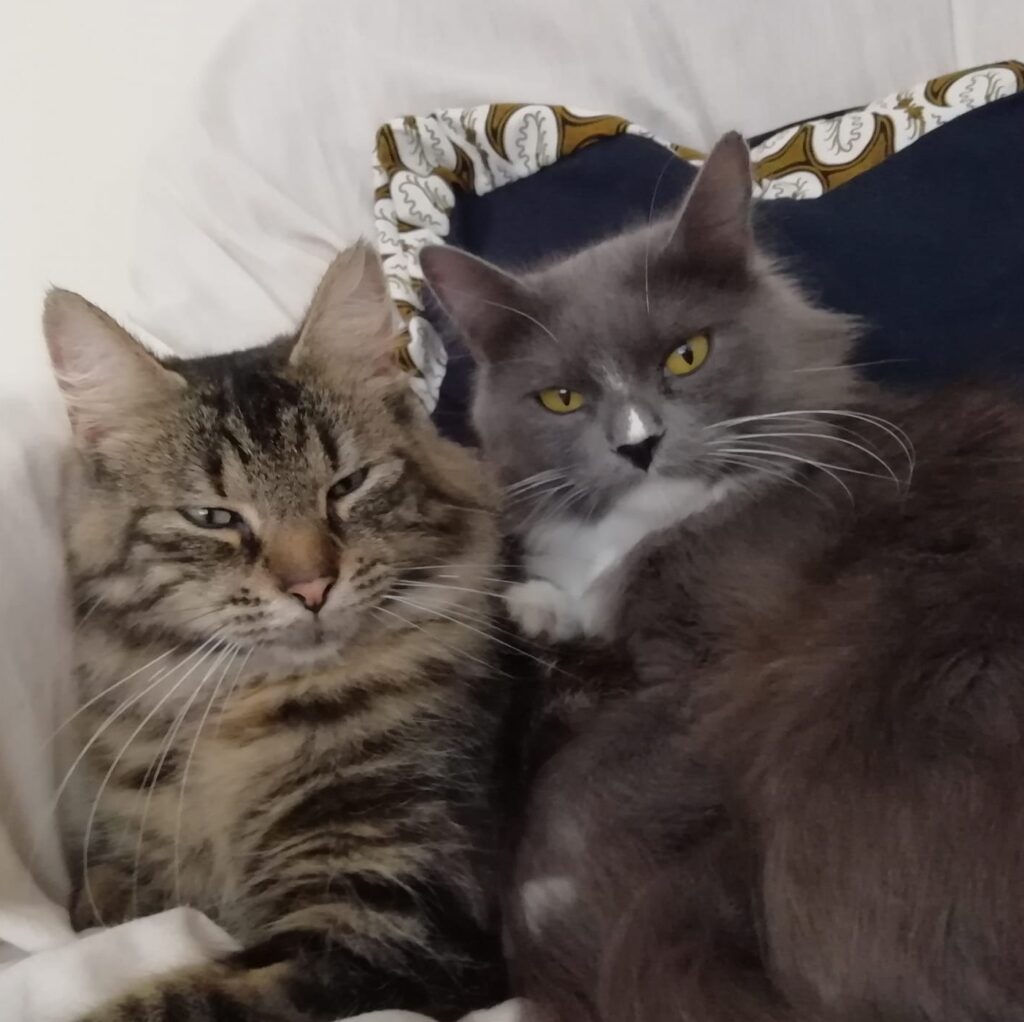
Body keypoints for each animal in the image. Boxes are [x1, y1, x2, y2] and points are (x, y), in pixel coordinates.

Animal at [46, 242, 517, 1022]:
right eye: (214, 518)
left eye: (348, 486)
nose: (312, 587)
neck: (236, 711)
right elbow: (105, 896)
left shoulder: (389, 922)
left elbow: (176, 997)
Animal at [423, 133, 1024, 1020]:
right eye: (562, 398)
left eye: (687, 353)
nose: (638, 442)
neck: (648, 533)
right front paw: (539, 605)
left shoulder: (708, 674)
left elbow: (581, 784)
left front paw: (549, 900)